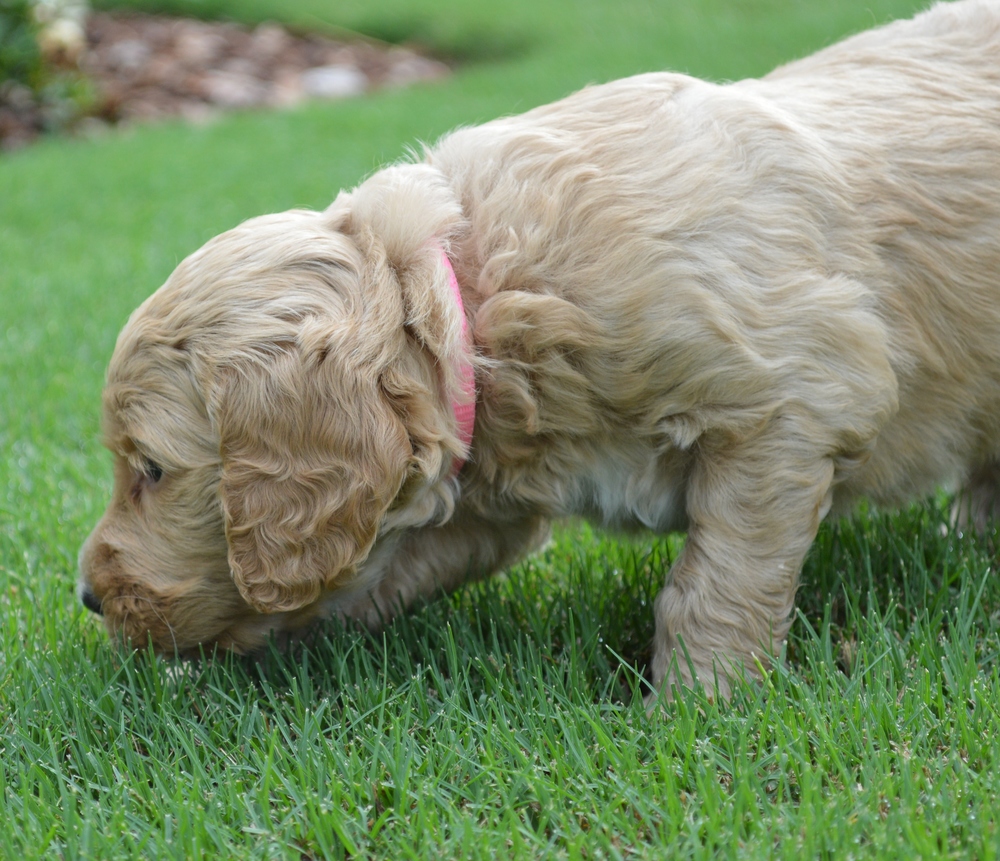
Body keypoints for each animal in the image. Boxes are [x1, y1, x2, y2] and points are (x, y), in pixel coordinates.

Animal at [76, 0, 1000, 700]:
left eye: (151, 469)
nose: (86, 595)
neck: (474, 296)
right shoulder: (472, 499)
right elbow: (362, 580)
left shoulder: (792, 397)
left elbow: (719, 578)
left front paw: (701, 705)